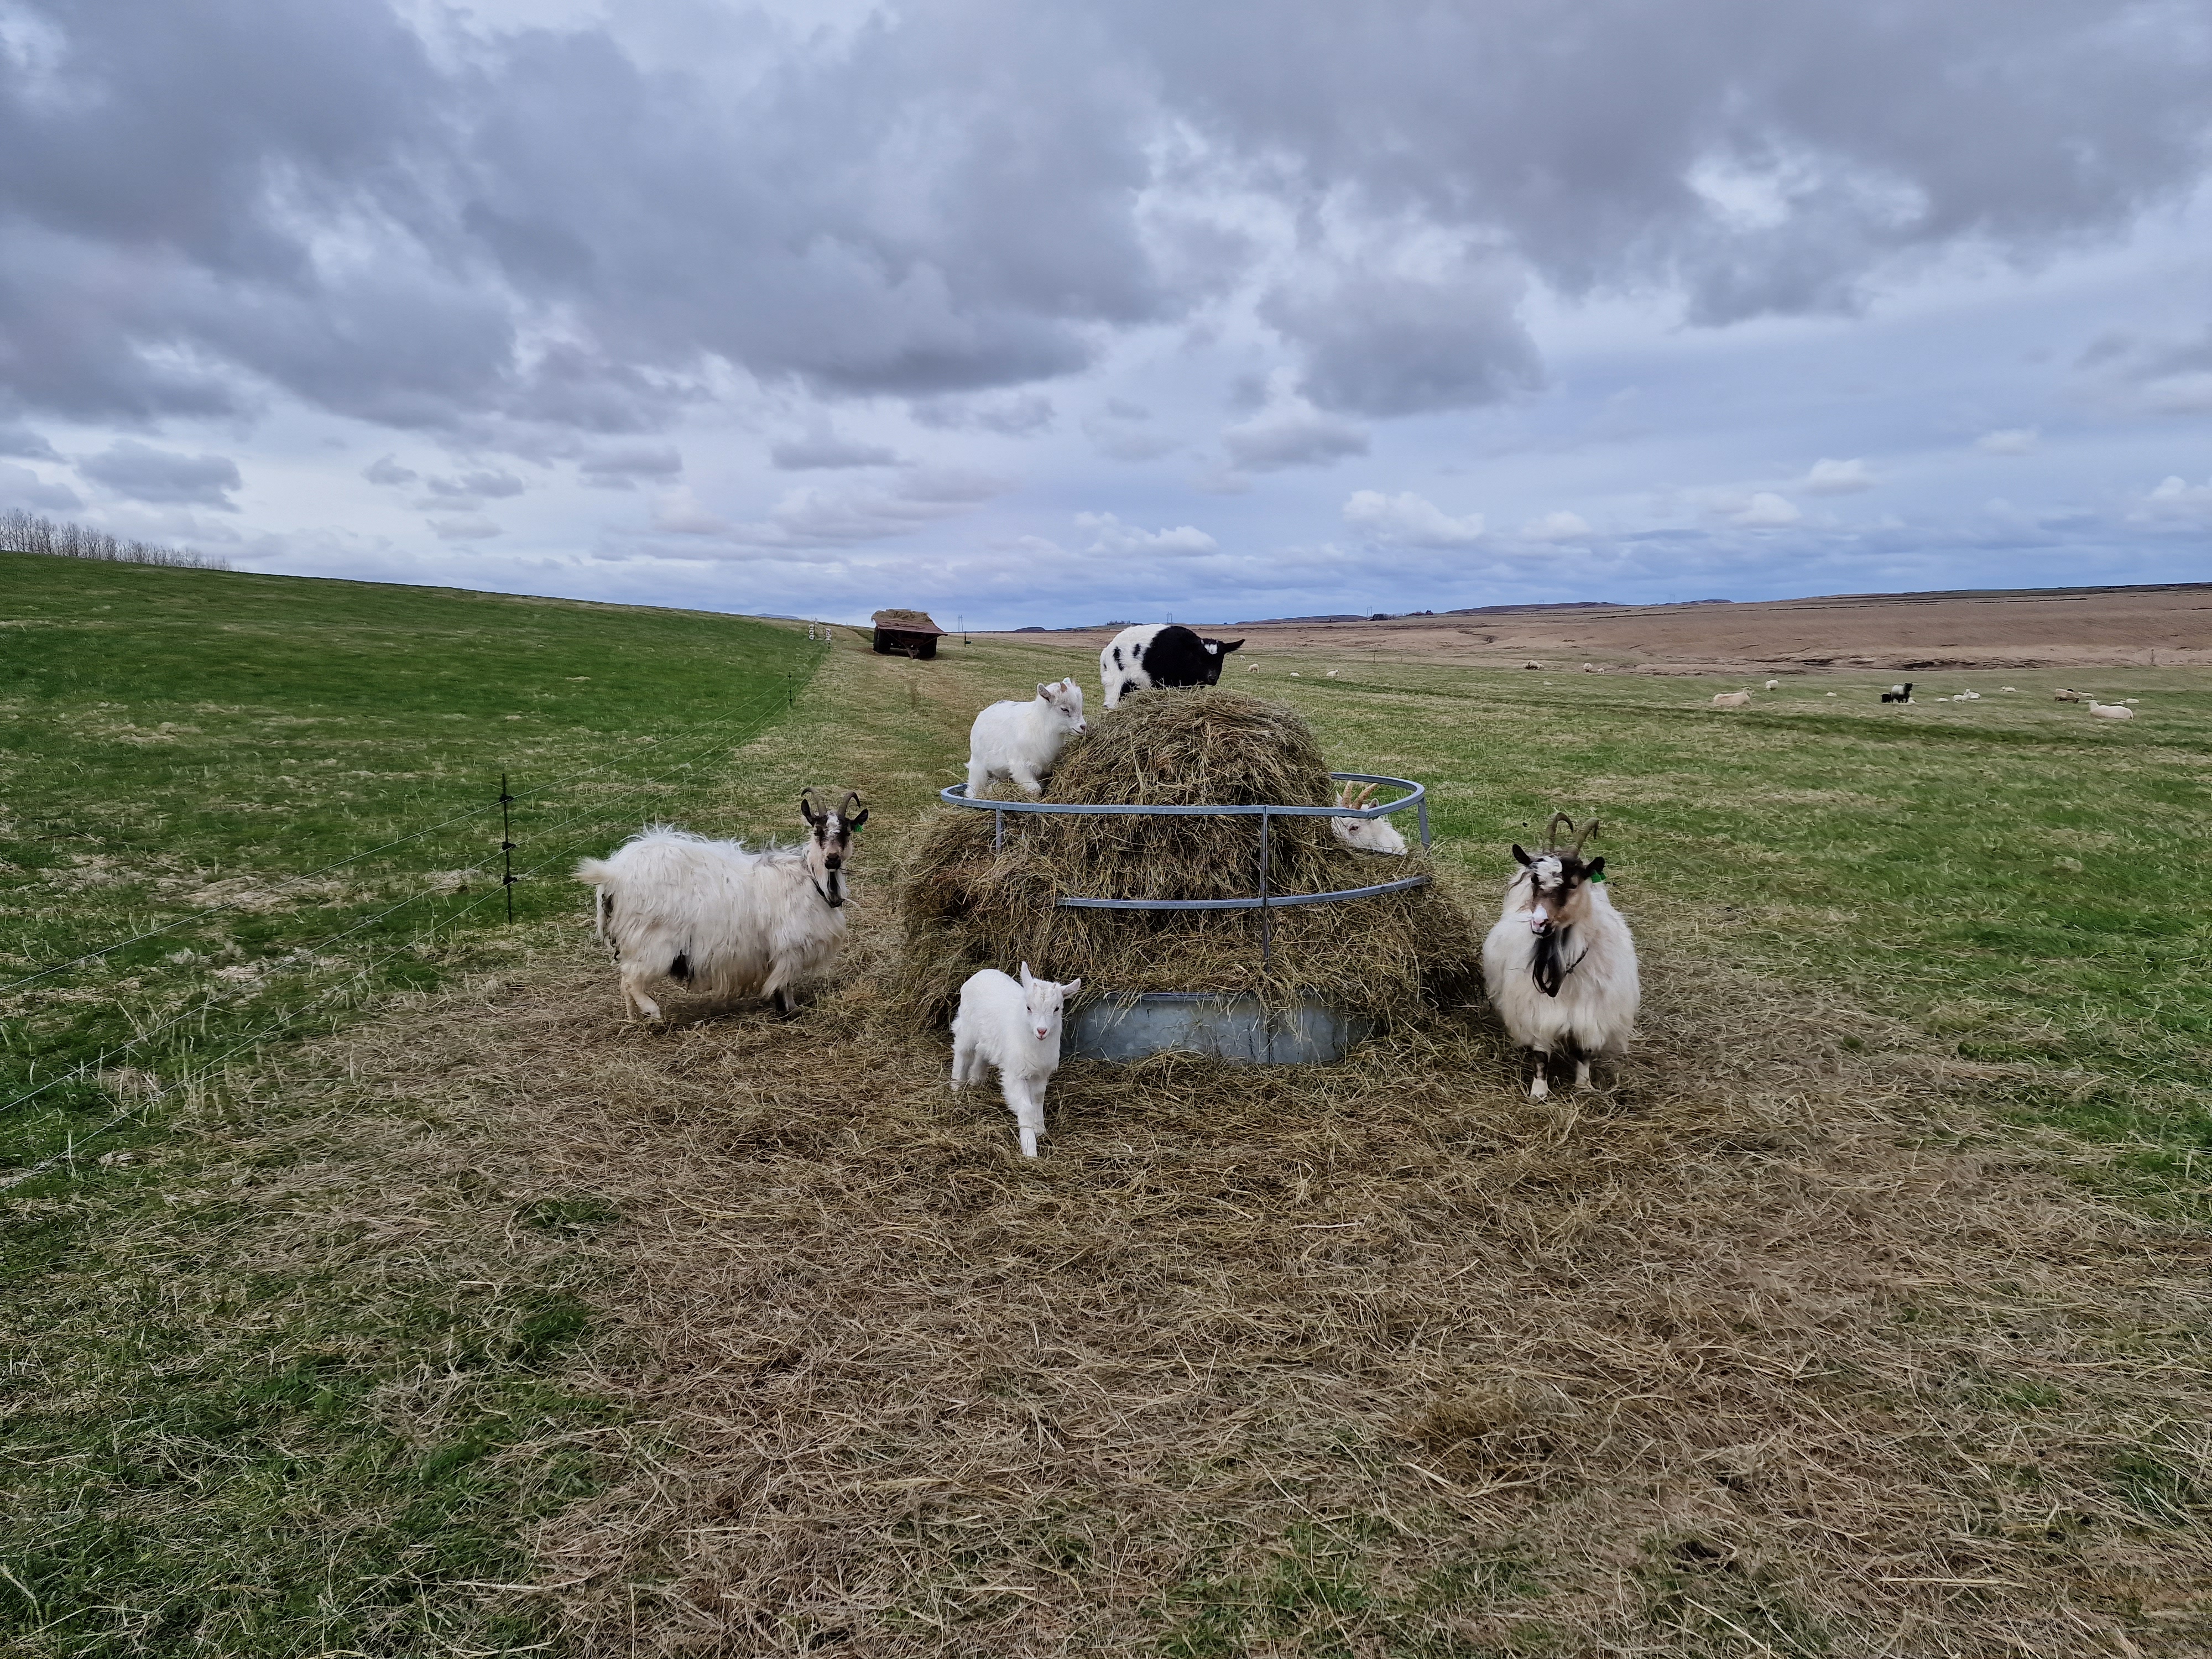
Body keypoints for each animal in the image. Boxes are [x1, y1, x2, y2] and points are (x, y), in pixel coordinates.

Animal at [575, 792, 867, 1022]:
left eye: (847, 831)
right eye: (818, 831)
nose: (832, 859)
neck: (813, 880)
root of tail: (613, 874)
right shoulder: (789, 948)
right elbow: (784, 982)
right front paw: (790, 1010)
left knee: (626, 984)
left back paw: (634, 1018)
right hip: (652, 943)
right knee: (630, 978)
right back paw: (652, 1011)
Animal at [951, 962, 1082, 1156]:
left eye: (1057, 1009)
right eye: (1028, 1008)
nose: (1042, 1031)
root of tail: (982, 973)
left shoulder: (1041, 1073)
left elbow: (1038, 1098)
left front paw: (1039, 1128)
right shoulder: (1015, 1074)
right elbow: (1026, 1108)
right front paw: (1030, 1149)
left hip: (987, 1038)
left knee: (981, 1053)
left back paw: (976, 1082)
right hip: (967, 1027)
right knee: (962, 1053)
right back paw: (956, 1087)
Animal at [966, 678, 1086, 799]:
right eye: (1064, 709)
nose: (1083, 727)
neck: (1038, 725)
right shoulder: (1021, 767)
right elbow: (1035, 790)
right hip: (978, 764)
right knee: (972, 787)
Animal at [1099, 624, 1245, 708]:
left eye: (1220, 659)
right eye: (1200, 659)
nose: (1212, 677)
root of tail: (1107, 651)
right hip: (1116, 682)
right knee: (1111, 703)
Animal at [1480, 816, 1639, 1100]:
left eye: (1573, 884)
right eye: (1535, 880)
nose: (1539, 922)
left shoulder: (1592, 1014)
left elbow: (1584, 1051)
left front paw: (1584, 1085)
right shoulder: (1538, 1010)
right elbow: (1541, 1053)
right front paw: (1539, 1091)